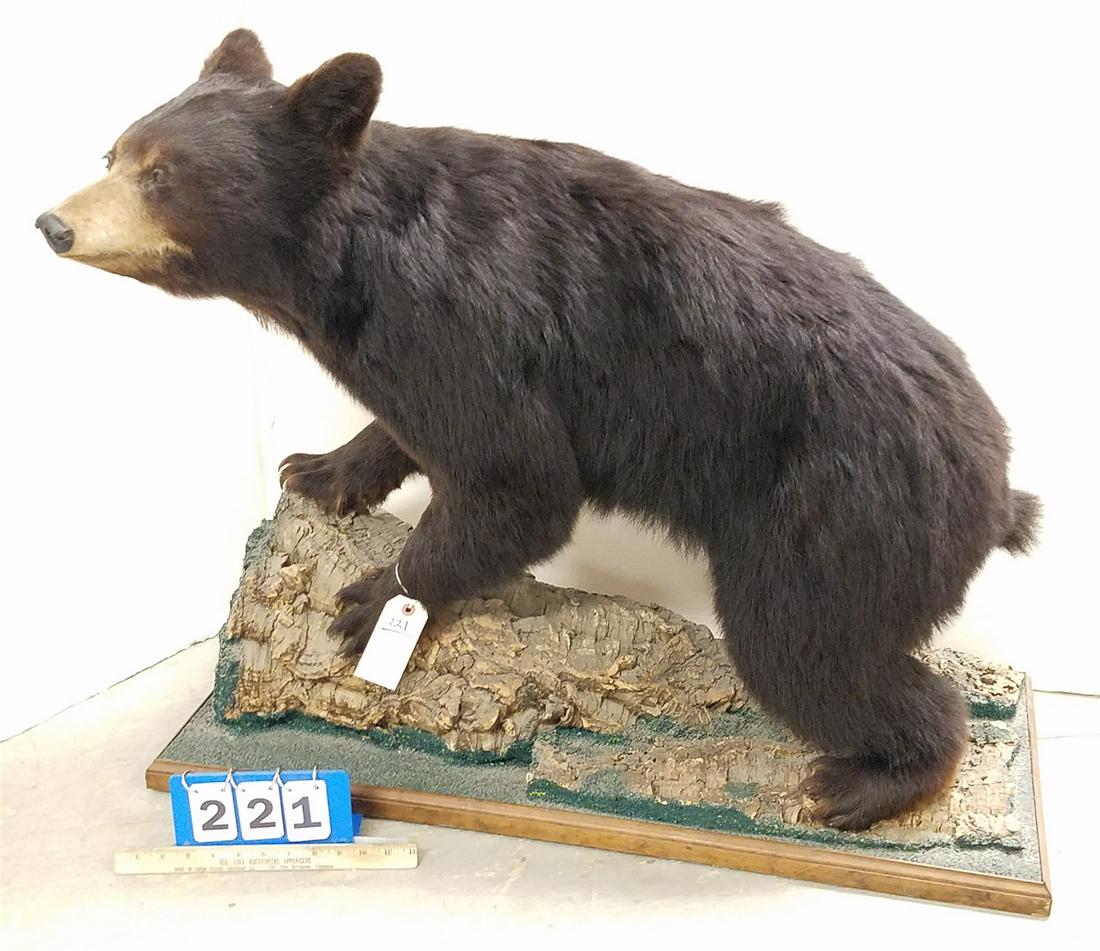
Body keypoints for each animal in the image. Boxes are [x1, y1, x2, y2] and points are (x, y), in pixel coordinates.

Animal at [36, 29, 1039, 831]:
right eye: (113, 148)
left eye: (163, 174)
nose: (52, 222)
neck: (353, 265)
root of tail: (999, 488)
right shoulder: (406, 348)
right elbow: (413, 429)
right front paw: (322, 466)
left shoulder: (463, 321)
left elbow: (519, 483)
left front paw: (374, 599)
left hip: (843, 510)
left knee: (806, 643)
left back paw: (869, 783)